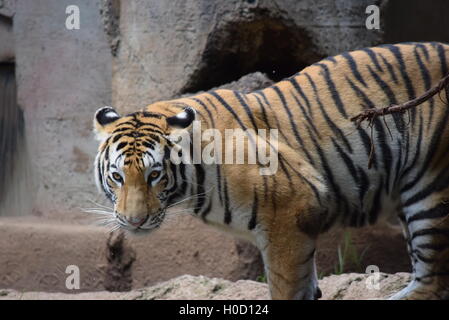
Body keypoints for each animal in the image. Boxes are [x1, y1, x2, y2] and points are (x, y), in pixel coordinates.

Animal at [92, 42, 448, 300]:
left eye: (154, 175)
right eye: (117, 176)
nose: (133, 222)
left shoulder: (290, 214)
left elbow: (286, 288)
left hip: (430, 187)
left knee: (433, 281)